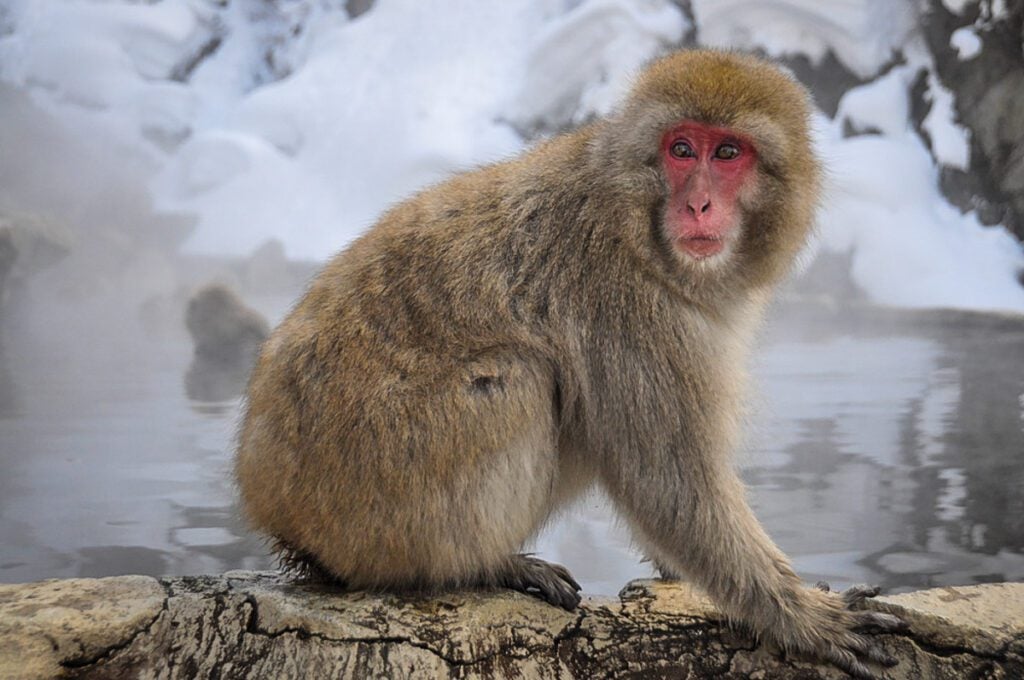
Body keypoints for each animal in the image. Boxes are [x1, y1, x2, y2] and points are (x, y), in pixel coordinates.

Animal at [237, 50, 905, 675]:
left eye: (728, 153)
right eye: (681, 150)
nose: (699, 206)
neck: (638, 225)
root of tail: (271, 500)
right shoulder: (624, 301)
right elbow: (668, 479)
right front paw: (804, 617)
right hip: (373, 490)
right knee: (518, 379)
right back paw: (479, 566)